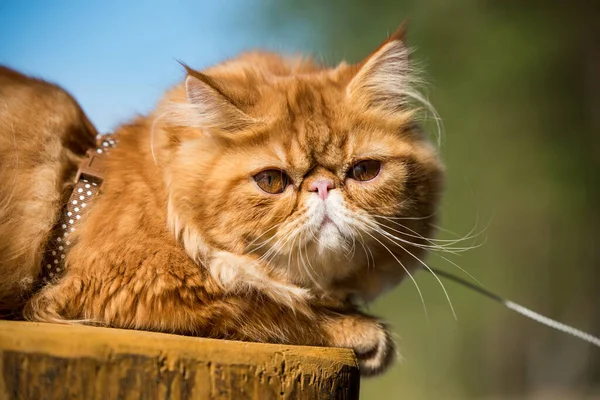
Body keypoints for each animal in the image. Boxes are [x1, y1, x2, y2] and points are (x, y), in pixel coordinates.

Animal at [0, 25, 440, 378]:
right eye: (271, 181)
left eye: (364, 171)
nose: (322, 187)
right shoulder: (124, 287)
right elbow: (265, 306)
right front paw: (362, 331)